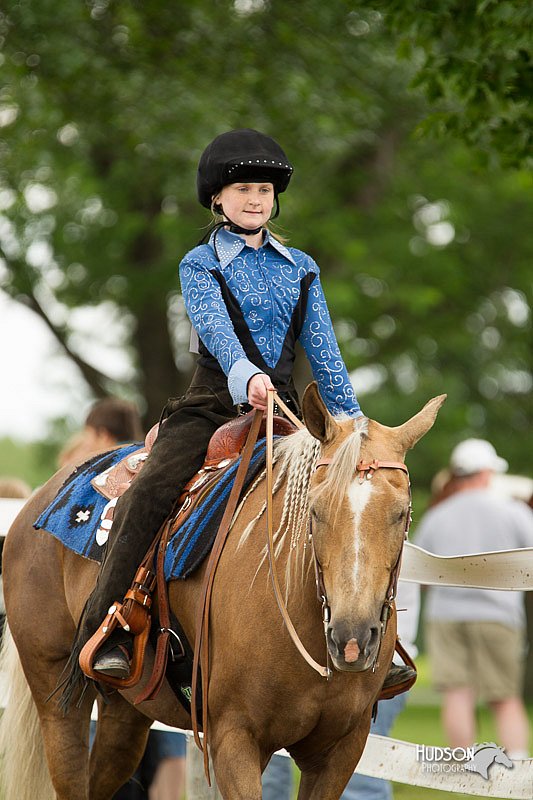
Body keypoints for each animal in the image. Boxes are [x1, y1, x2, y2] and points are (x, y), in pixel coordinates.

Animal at [0, 384, 442, 796]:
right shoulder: (235, 740)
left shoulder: (341, 751)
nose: (353, 640)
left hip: (127, 713)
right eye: (315, 510)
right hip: (56, 697)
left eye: (401, 513)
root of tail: (38, 500)